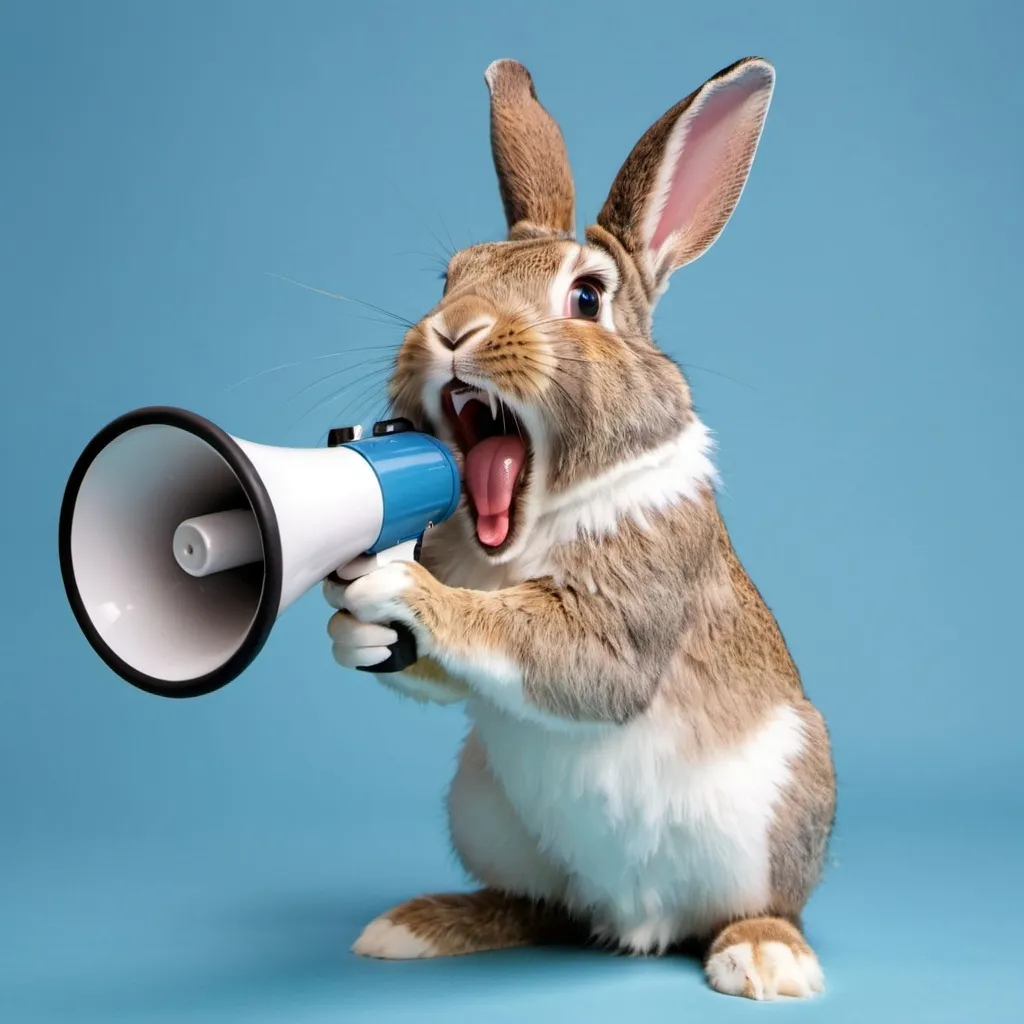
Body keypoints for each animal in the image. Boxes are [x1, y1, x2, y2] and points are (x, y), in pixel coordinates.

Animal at [323, 54, 835, 999]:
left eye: (587, 296)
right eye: (447, 279)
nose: (454, 331)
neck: (525, 526)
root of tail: (637, 922)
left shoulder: (624, 618)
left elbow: (562, 657)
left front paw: (404, 589)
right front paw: (354, 633)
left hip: (784, 809)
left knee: (761, 907)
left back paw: (764, 960)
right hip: (483, 810)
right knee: (537, 907)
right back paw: (420, 926)